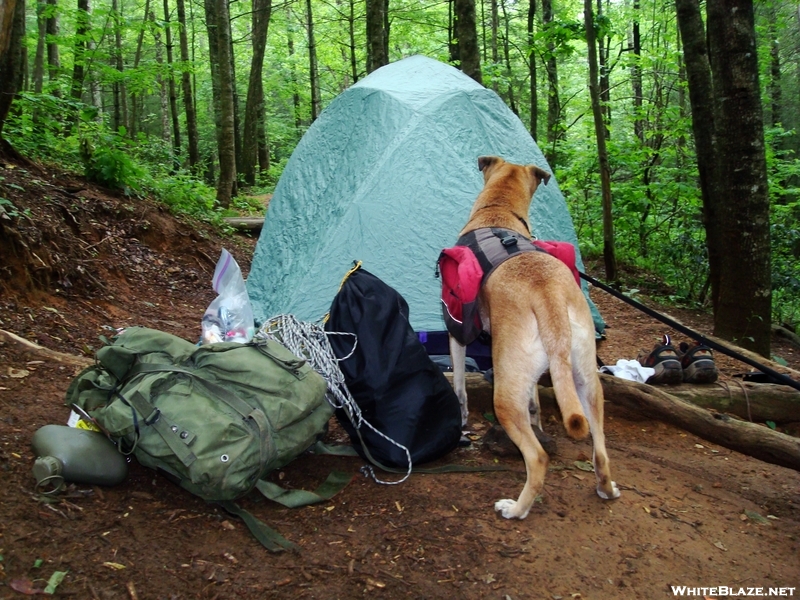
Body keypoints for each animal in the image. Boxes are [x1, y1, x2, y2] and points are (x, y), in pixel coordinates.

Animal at [450, 157, 620, 516]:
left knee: (537, 459)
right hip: (586, 382)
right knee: (600, 451)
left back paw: (516, 508)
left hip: (504, 392)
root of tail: (549, 295)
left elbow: (458, 386)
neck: (498, 211)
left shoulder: (456, 331)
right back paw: (606, 488)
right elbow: (535, 404)